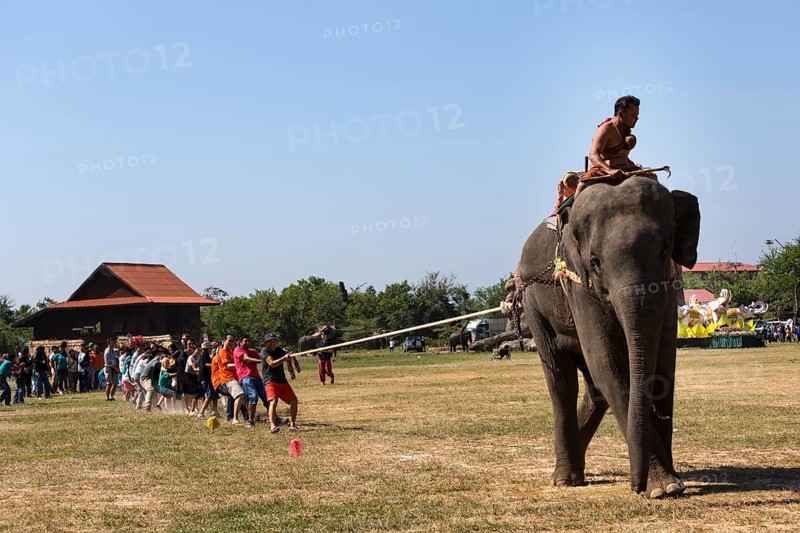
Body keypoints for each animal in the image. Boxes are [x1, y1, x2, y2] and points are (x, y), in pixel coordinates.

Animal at [517, 176, 700, 498]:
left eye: (665, 250)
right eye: (595, 261)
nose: (636, 484)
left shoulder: (670, 287)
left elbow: (665, 365)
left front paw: (670, 483)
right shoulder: (578, 284)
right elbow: (608, 364)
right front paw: (661, 487)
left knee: (594, 389)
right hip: (533, 305)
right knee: (562, 383)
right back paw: (564, 478)